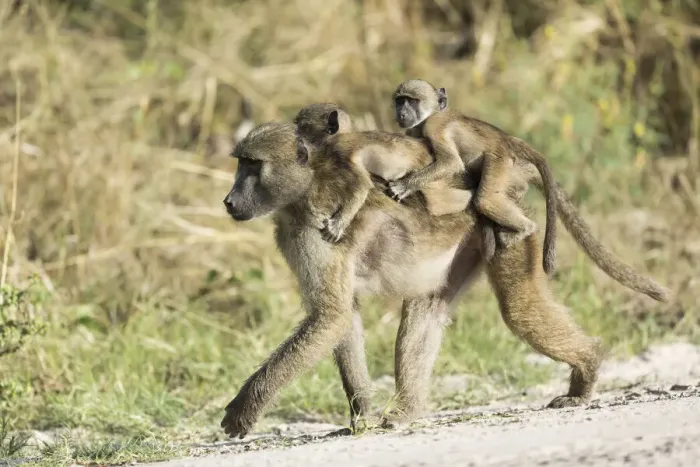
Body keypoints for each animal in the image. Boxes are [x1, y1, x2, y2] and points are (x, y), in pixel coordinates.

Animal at [219, 120, 670, 439]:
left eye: (252, 165)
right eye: (240, 163)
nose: (228, 201)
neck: (306, 186)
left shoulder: (314, 233)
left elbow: (330, 316)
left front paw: (244, 409)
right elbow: (341, 315)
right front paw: (362, 415)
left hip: (505, 231)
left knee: (519, 311)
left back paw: (587, 372)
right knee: (427, 309)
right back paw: (406, 412)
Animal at [390, 78, 559, 274]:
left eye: (412, 101)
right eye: (400, 101)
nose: (401, 114)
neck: (431, 114)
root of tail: (505, 140)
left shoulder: (434, 125)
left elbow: (451, 162)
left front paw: (404, 186)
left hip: (498, 160)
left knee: (485, 200)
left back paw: (527, 228)